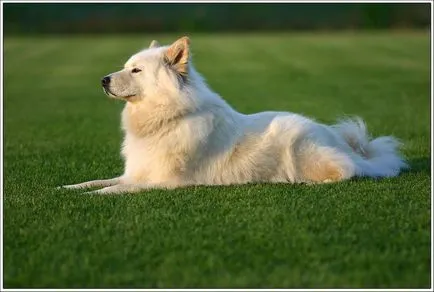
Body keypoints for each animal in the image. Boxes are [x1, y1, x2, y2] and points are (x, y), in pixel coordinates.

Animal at [60, 36, 406, 194]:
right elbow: (96, 181)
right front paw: (68, 190)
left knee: (347, 171)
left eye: (136, 70)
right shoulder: (136, 172)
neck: (168, 118)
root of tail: (348, 145)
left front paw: (95, 197)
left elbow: (115, 189)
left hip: (302, 149)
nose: (103, 80)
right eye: (126, 66)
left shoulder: (167, 182)